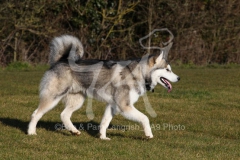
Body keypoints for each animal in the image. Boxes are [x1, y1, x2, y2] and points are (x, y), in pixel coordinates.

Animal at [27, 34, 179, 139]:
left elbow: (105, 122)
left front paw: (103, 137)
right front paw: (149, 134)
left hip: (77, 100)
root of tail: (61, 60)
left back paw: (74, 131)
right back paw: (31, 132)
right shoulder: (124, 106)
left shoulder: (112, 105)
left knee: (64, 115)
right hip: (53, 97)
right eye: (167, 70)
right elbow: (145, 118)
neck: (139, 73)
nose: (179, 78)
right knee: (36, 113)